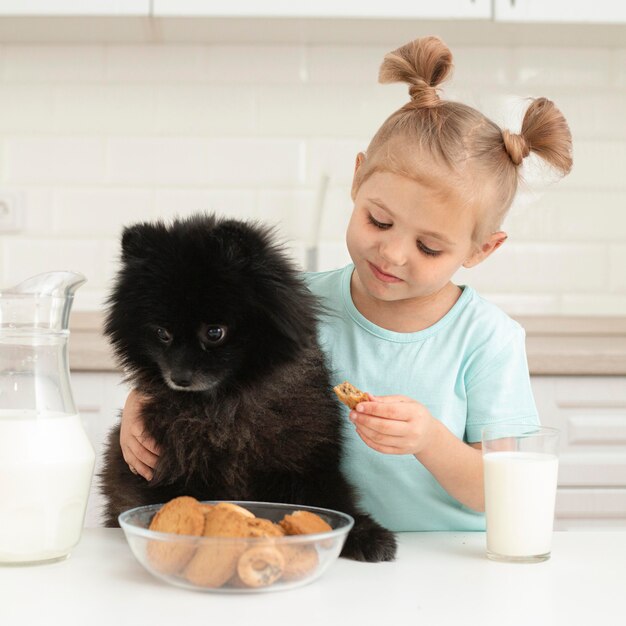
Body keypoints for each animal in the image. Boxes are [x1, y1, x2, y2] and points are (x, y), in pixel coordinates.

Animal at [100, 214, 398, 560]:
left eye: (214, 332)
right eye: (162, 333)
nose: (179, 376)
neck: (226, 408)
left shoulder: (306, 462)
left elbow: (332, 500)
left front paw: (365, 535)